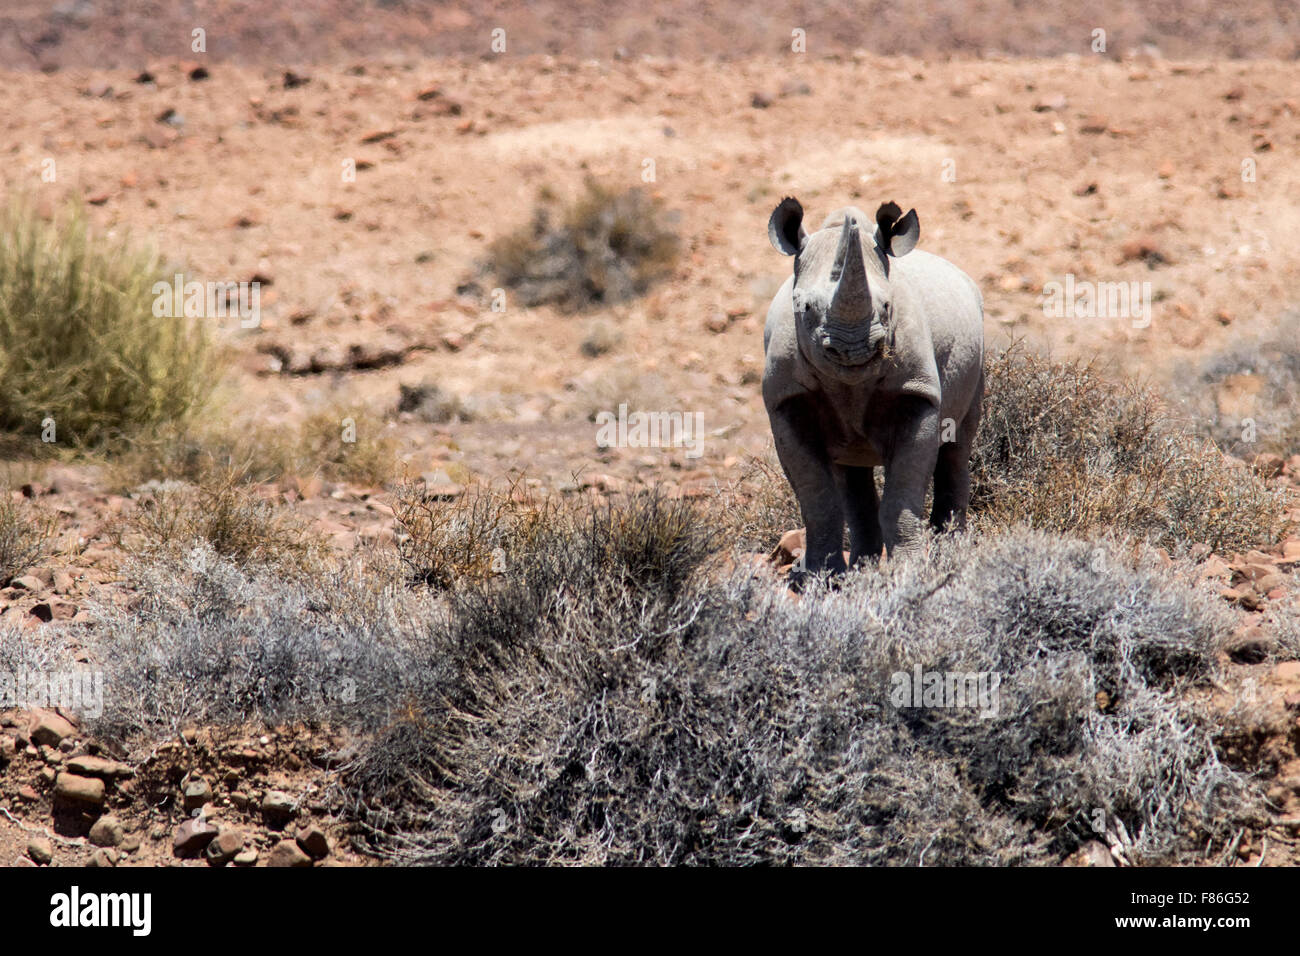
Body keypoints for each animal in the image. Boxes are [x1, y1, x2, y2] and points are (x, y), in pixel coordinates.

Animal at [762, 197, 984, 574]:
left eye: (886, 305)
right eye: (804, 307)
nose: (853, 349)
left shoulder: (916, 391)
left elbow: (902, 497)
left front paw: (908, 571)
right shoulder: (785, 399)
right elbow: (817, 499)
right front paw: (821, 577)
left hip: (979, 343)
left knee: (957, 445)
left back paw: (951, 562)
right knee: (851, 468)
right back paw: (858, 571)